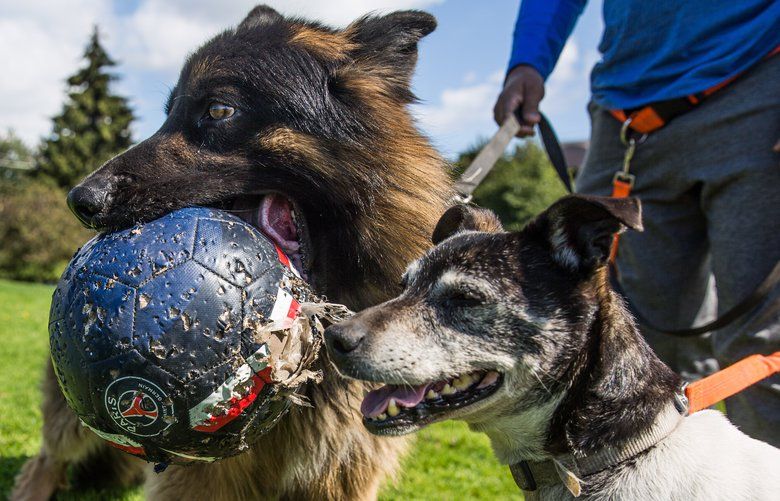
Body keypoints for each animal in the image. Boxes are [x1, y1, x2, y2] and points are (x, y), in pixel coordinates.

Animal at [12, 4, 450, 500]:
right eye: (168, 113)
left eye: (219, 110)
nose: (80, 200)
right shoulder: (199, 476)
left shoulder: (343, 471)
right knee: (46, 459)